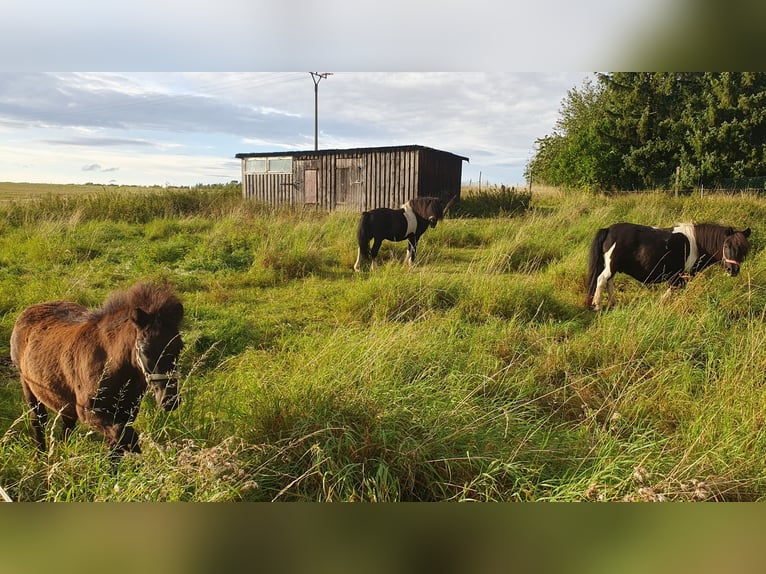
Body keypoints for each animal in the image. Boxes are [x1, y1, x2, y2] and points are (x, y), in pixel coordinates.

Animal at [10, 284, 184, 460]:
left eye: (179, 347)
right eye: (145, 350)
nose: (170, 400)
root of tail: (29, 310)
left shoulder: (125, 413)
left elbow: (116, 447)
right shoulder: (89, 412)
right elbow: (125, 436)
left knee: (67, 424)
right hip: (29, 386)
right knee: (39, 420)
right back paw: (40, 455)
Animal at [584, 223, 752, 310]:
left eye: (744, 249)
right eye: (727, 245)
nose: (733, 270)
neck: (697, 244)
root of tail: (608, 229)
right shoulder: (679, 277)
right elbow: (670, 293)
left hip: (613, 266)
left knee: (609, 282)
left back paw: (613, 303)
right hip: (611, 265)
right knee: (602, 280)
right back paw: (597, 305)